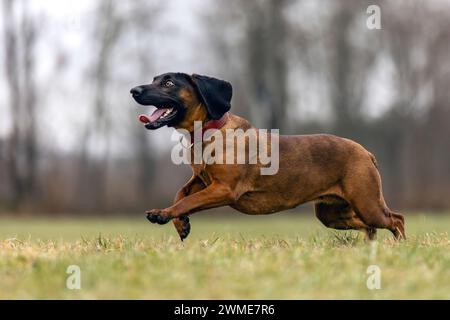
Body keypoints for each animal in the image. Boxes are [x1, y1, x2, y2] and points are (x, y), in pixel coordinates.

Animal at [129, 72, 404, 240]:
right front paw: (180, 223)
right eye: (155, 79)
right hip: (333, 214)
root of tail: (366, 152)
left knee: (396, 219)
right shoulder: (201, 180)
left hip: (367, 204)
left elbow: (187, 201)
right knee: (371, 226)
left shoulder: (224, 189)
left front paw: (163, 214)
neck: (209, 130)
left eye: (168, 83)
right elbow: (181, 194)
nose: (134, 90)